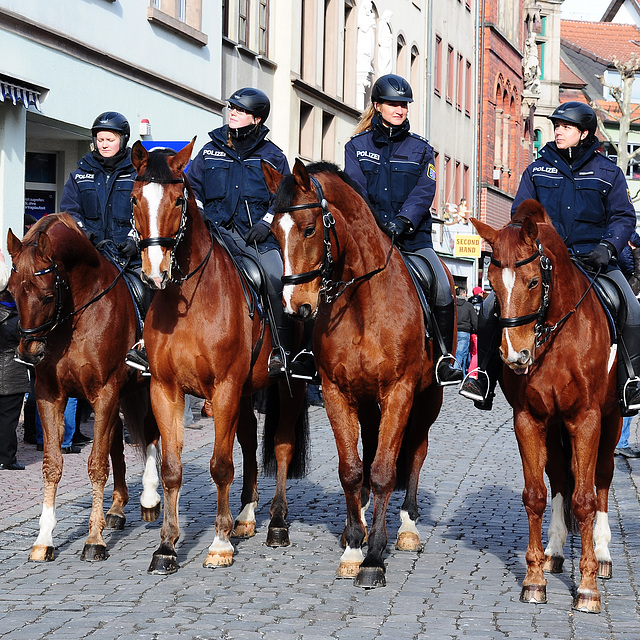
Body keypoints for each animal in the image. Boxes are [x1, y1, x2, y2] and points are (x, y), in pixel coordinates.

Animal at [6, 214, 161, 560]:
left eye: (48, 296)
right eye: (10, 290)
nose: (28, 353)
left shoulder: (104, 392)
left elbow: (97, 464)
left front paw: (94, 540)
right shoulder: (50, 395)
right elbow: (52, 465)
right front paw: (44, 539)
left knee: (151, 433)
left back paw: (149, 497)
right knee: (119, 441)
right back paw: (117, 508)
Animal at [129, 138, 308, 572]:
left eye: (178, 200)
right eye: (135, 198)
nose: (154, 271)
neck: (188, 301)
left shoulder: (223, 387)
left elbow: (221, 465)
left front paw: (219, 543)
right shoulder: (166, 389)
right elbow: (171, 469)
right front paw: (167, 547)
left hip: (287, 387)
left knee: (280, 445)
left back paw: (276, 524)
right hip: (245, 392)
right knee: (248, 440)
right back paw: (245, 516)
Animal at [262, 160, 448, 592]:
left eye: (309, 228)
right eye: (274, 231)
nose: (296, 306)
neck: (363, 302)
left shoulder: (399, 393)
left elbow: (383, 471)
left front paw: (375, 557)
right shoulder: (337, 392)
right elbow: (351, 469)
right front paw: (352, 547)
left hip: (428, 399)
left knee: (415, 452)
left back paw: (408, 527)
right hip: (366, 403)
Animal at [476, 200, 620, 616]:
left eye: (532, 282)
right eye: (492, 283)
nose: (515, 355)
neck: (556, 336)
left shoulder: (586, 420)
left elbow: (585, 500)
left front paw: (587, 587)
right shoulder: (529, 419)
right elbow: (535, 495)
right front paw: (534, 578)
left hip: (612, 421)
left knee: (602, 478)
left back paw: (603, 554)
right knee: (558, 477)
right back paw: (555, 551)